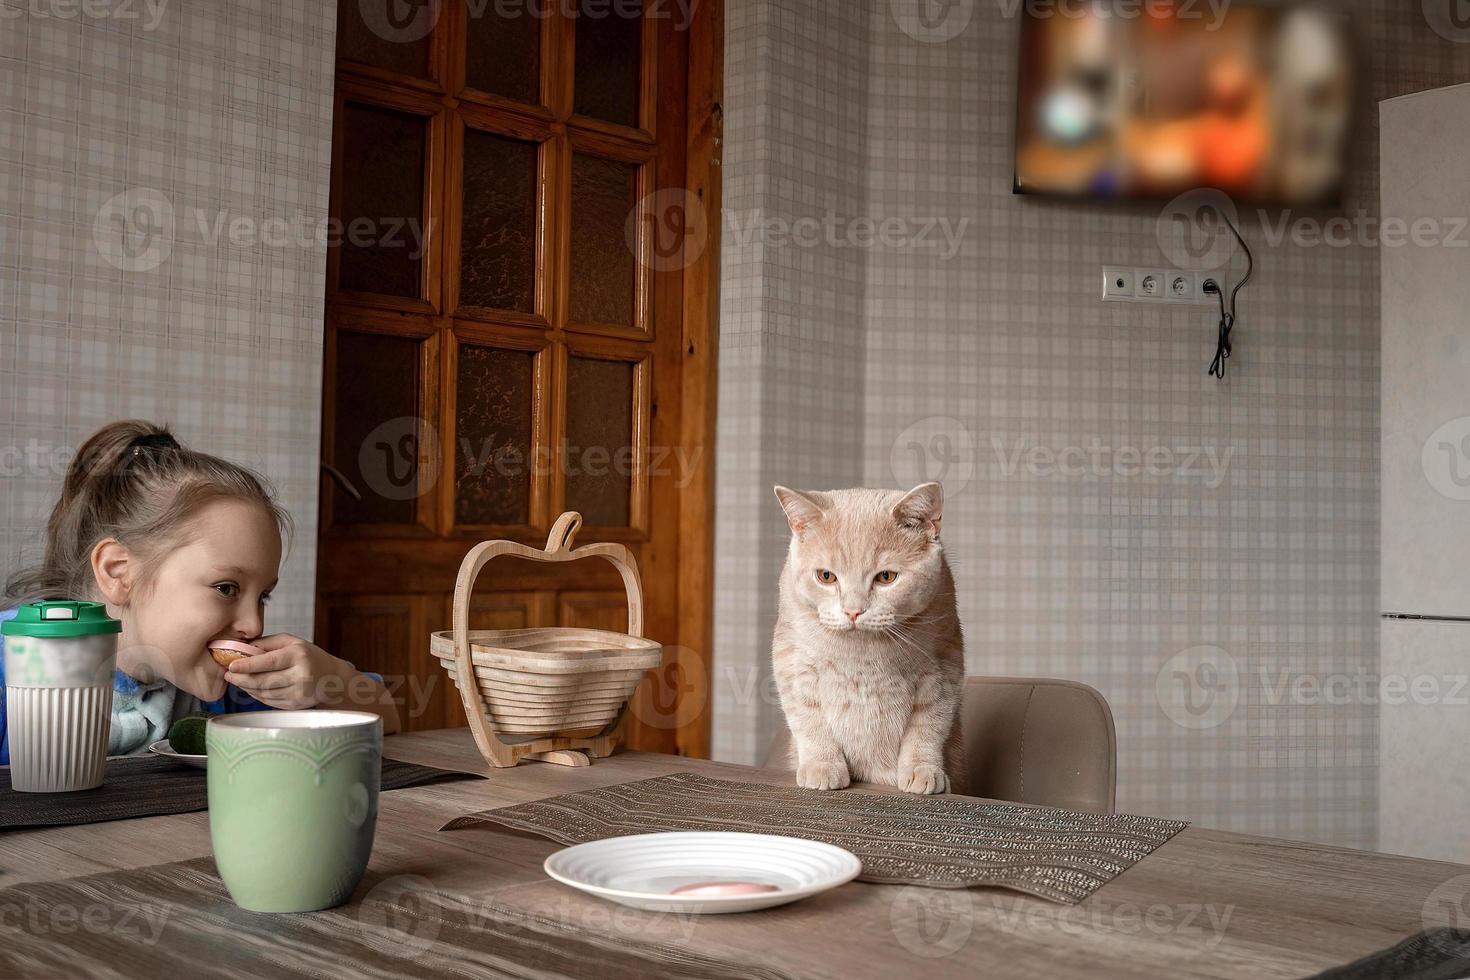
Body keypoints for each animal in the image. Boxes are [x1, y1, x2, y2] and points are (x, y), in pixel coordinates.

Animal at [770, 481, 964, 799]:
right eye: (826, 576)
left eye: (886, 577)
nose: (853, 611)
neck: (861, 655)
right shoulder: (793, 665)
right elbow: (809, 720)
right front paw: (822, 766)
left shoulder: (943, 671)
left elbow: (928, 727)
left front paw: (923, 770)